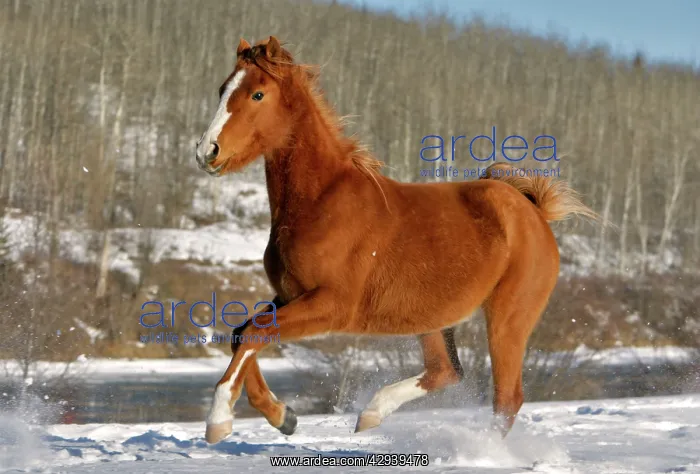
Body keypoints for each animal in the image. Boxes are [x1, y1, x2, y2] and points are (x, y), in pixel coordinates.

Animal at [195, 36, 598, 444]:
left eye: (258, 94)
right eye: (222, 89)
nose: (206, 151)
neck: (321, 202)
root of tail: (534, 211)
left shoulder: (333, 304)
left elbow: (255, 334)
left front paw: (219, 420)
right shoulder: (290, 295)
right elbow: (242, 334)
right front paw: (283, 416)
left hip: (507, 318)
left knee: (507, 398)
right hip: (432, 316)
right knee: (446, 370)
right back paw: (371, 414)